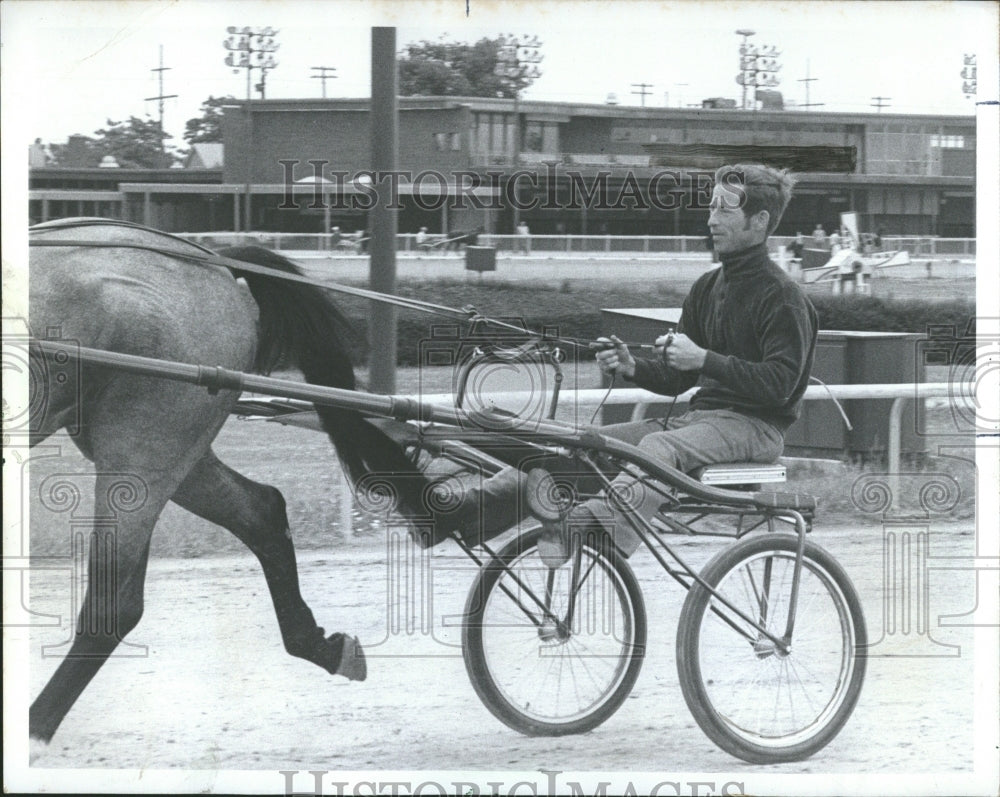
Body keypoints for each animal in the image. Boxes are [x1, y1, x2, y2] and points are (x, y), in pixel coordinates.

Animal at [29, 216, 428, 740]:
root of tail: (213, 262)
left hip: (144, 440)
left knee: (113, 604)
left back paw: (34, 728)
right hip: (170, 445)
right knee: (261, 510)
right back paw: (319, 644)